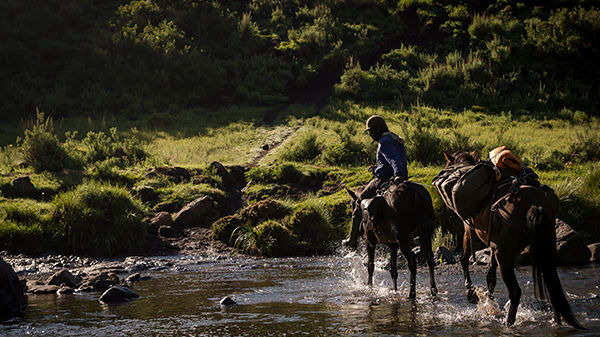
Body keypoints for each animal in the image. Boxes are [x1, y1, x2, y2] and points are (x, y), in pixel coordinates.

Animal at [448, 151, 584, 326]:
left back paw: (508, 323)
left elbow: (464, 259)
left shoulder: (469, 231)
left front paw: (471, 294)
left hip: (505, 257)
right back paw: (557, 322)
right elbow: (490, 276)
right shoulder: (493, 245)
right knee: (552, 288)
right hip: (545, 249)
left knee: (515, 292)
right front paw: (490, 303)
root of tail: (534, 205)